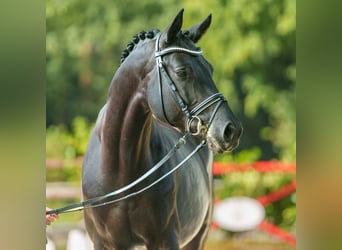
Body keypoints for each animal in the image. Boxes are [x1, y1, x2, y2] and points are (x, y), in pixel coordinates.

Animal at [82, 8, 243, 250]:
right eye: (182, 71)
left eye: (210, 68)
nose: (231, 130)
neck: (120, 169)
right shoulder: (104, 243)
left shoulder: (165, 239)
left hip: (198, 236)